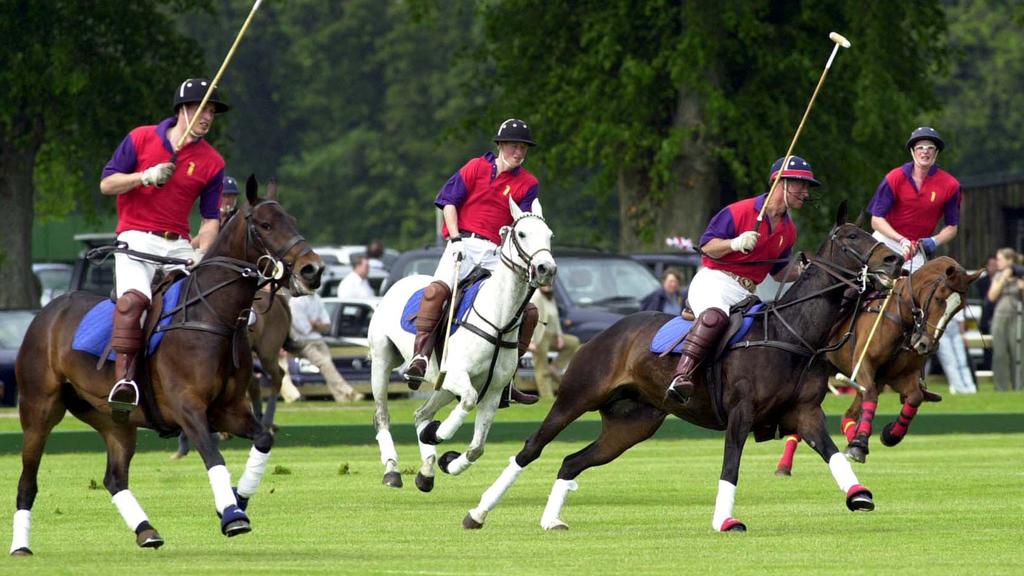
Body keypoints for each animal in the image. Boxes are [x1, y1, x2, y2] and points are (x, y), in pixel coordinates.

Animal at [9, 175, 321, 553]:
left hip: (114, 418)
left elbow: (263, 437)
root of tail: (47, 311)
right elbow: (213, 454)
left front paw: (239, 499)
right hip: (39, 408)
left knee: (114, 477)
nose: (313, 269)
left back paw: (146, 530)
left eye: (293, 220)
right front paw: (233, 515)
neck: (212, 316)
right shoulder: (187, 406)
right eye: (265, 225)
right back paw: (20, 546)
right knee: (28, 480)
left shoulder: (228, 409)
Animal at [368, 196, 557, 487]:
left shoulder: (493, 391)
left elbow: (477, 448)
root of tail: (399, 282)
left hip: (442, 385)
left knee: (421, 414)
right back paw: (392, 469)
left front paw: (448, 460)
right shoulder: (457, 374)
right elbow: (467, 401)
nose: (546, 269)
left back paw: (426, 471)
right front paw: (439, 433)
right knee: (382, 416)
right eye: (522, 234)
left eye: (549, 235)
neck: (499, 321)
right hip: (382, 359)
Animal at [460, 202, 901, 532]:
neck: (790, 334)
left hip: (631, 425)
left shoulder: (805, 412)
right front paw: (725, 521)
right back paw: (477, 512)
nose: (895, 259)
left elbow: (832, 452)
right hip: (575, 398)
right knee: (530, 449)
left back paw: (551, 520)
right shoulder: (741, 412)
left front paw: (859, 494)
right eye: (851, 238)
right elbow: (730, 466)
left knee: (572, 461)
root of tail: (603, 334)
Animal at [774, 255, 983, 471]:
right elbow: (872, 397)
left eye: (959, 308)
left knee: (847, 414)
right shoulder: (864, 365)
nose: (926, 345)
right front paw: (859, 445)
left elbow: (914, 397)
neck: (901, 317)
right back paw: (785, 465)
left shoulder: (899, 375)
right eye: (939, 298)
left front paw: (890, 434)